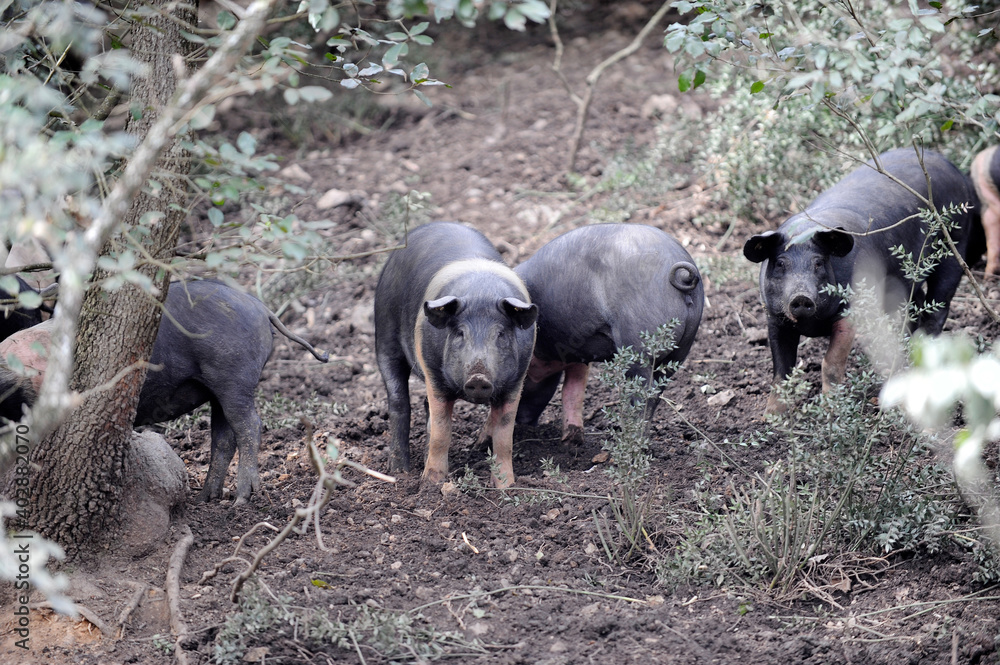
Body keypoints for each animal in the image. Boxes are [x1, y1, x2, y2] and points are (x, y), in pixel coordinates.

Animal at [0, 280, 329, 504]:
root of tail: (261, 307)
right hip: (217, 388)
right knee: (223, 437)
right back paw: (206, 498)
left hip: (234, 378)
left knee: (249, 426)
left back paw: (241, 498)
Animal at [374, 222, 538, 488]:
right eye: (460, 333)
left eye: (501, 334)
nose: (478, 377)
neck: (482, 292)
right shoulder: (433, 374)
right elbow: (442, 433)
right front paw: (431, 484)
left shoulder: (516, 380)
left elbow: (504, 437)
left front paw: (505, 486)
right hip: (384, 335)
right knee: (399, 402)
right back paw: (399, 470)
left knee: (423, 406)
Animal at [512, 224, 704, 443]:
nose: (522, 424)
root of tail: (682, 275)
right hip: (681, 350)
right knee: (657, 391)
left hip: (638, 346)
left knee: (643, 395)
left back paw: (630, 440)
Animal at [743, 148, 980, 415]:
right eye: (781, 264)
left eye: (818, 263)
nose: (801, 296)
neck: (812, 324)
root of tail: (950, 165)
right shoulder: (774, 316)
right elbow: (781, 370)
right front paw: (771, 416)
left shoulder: (851, 310)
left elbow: (831, 361)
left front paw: (831, 410)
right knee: (914, 305)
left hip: (954, 243)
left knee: (939, 305)